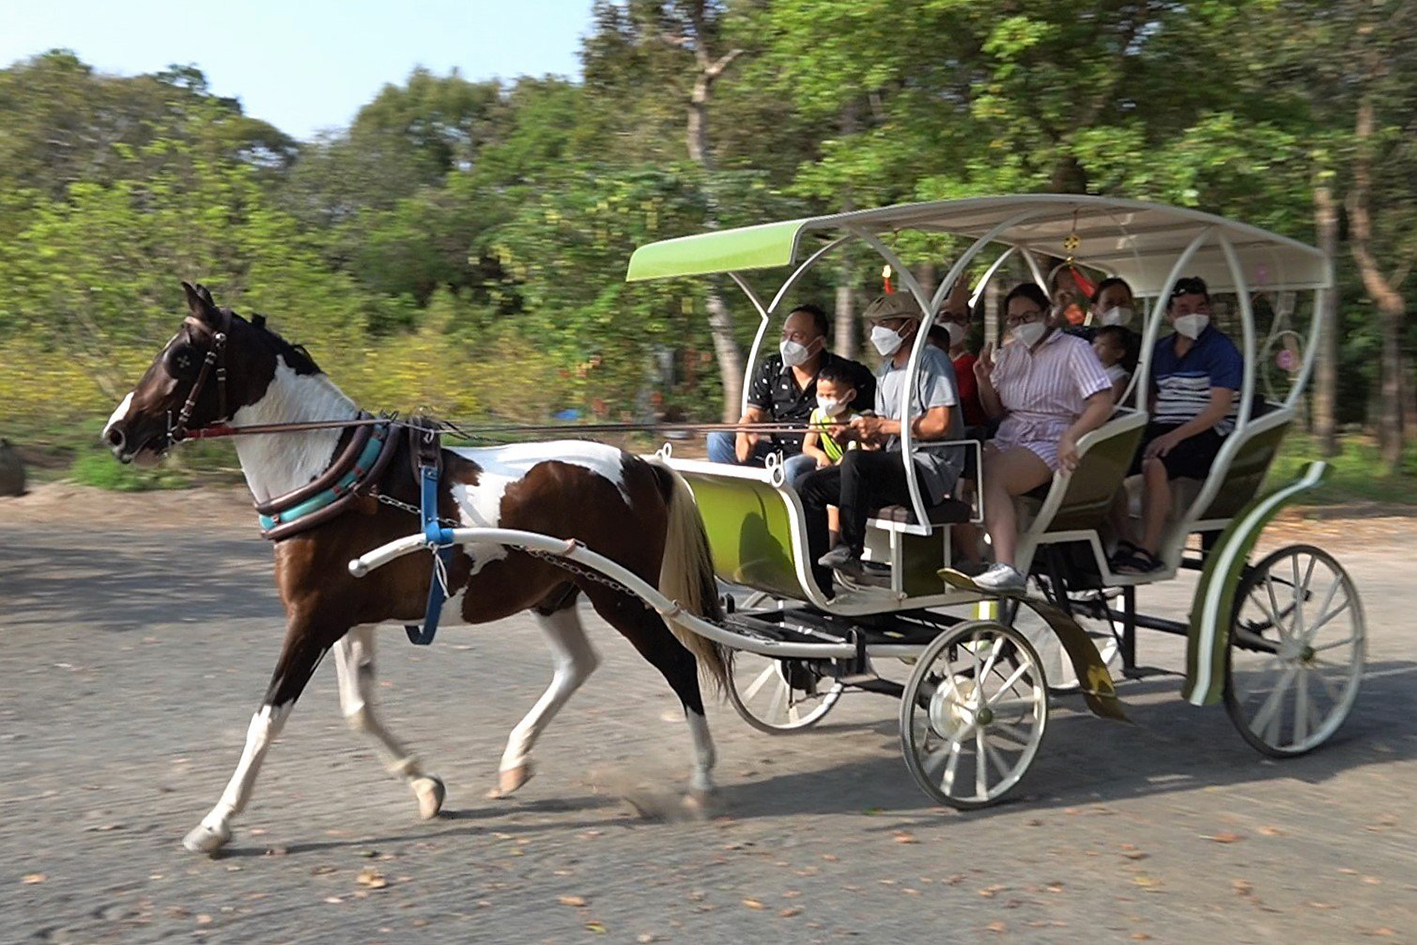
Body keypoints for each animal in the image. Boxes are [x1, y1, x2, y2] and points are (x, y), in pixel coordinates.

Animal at [101, 283, 725, 855]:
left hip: (623, 596)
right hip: (554, 595)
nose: (117, 433)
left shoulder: (312, 619)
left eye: (182, 357)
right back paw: (515, 761)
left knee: (677, 664)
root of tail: (641, 465)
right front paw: (426, 786)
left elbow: (267, 718)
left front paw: (216, 823)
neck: (335, 476)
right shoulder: (348, 620)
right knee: (578, 664)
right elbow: (358, 711)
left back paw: (701, 781)